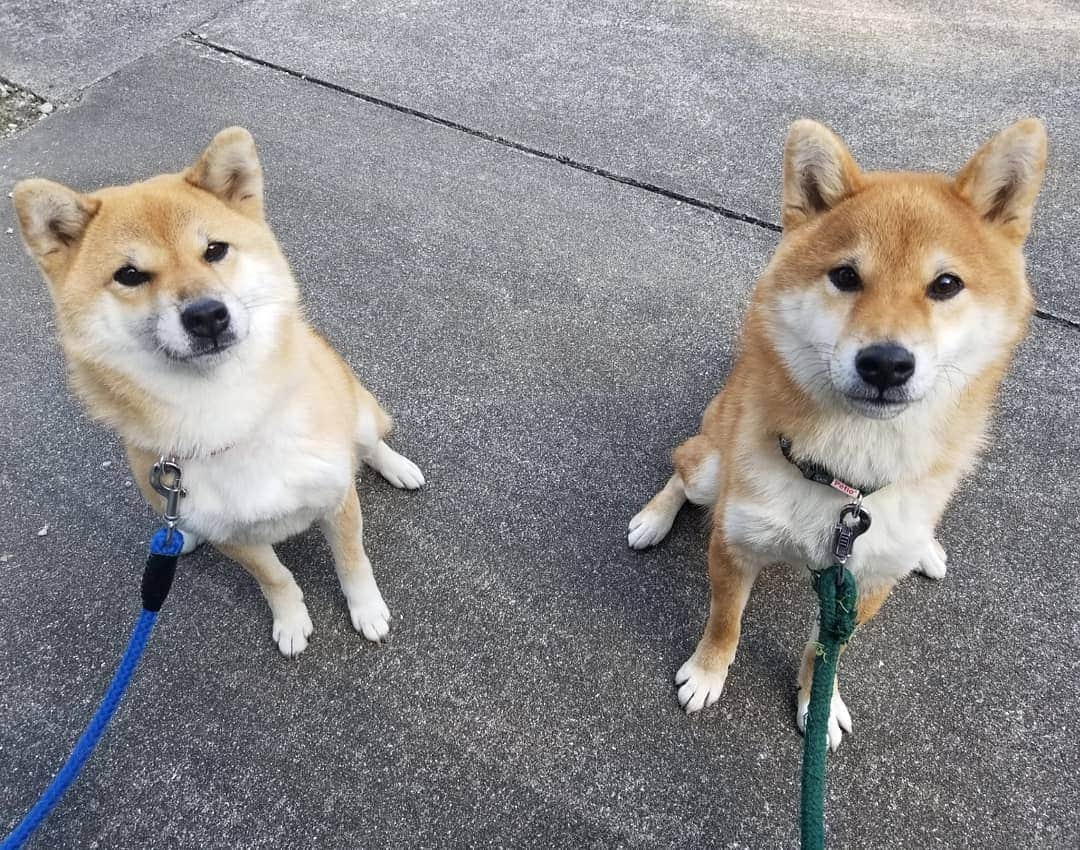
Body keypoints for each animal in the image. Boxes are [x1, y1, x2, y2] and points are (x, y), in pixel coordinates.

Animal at [14, 126, 425, 656]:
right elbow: (275, 578)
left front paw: (367, 610)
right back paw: (182, 539)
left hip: (359, 410)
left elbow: (353, 562)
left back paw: (397, 467)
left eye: (214, 250)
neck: (227, 416)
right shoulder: (235, 538)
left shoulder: (336, 499)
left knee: (371, 443)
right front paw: (291, 619)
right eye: (130, 275)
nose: (207, 315)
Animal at [630, 118, 1045, 743]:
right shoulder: (734, 544)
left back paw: (927, 547)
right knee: (682, 470)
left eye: (946, 284)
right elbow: (725, 623)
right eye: (846, 276)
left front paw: (817, 702)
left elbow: (824, 652)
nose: (886, 363)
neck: (848, 481)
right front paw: (707, 673)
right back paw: (653, 518)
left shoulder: (864, 583)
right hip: (710, 466)